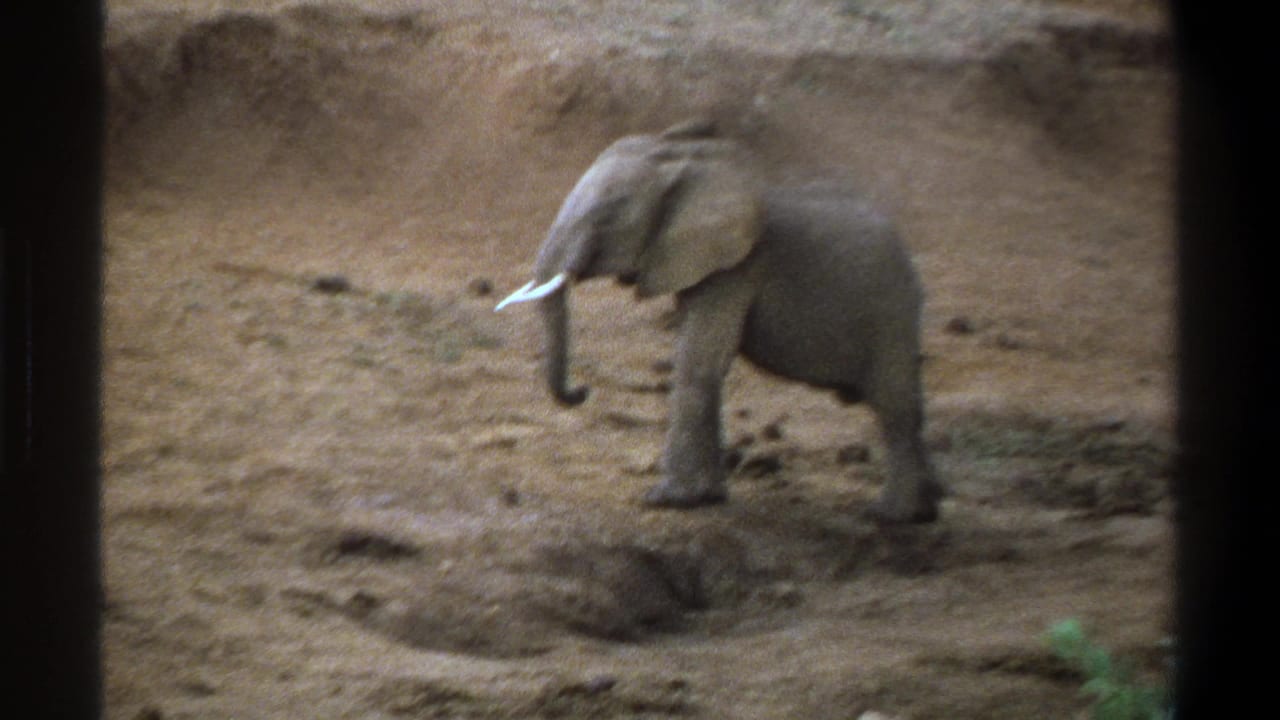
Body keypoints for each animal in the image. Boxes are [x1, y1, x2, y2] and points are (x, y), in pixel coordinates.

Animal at [496, 120, 942, 523]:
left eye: (607, 217)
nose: (582, 392)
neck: (688, 165)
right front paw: (706, 498)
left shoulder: (738, 269)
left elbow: (699, 363)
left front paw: (668, 501)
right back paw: (925, 509)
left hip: (890, 312)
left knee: (895, 407)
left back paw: (891, 516)